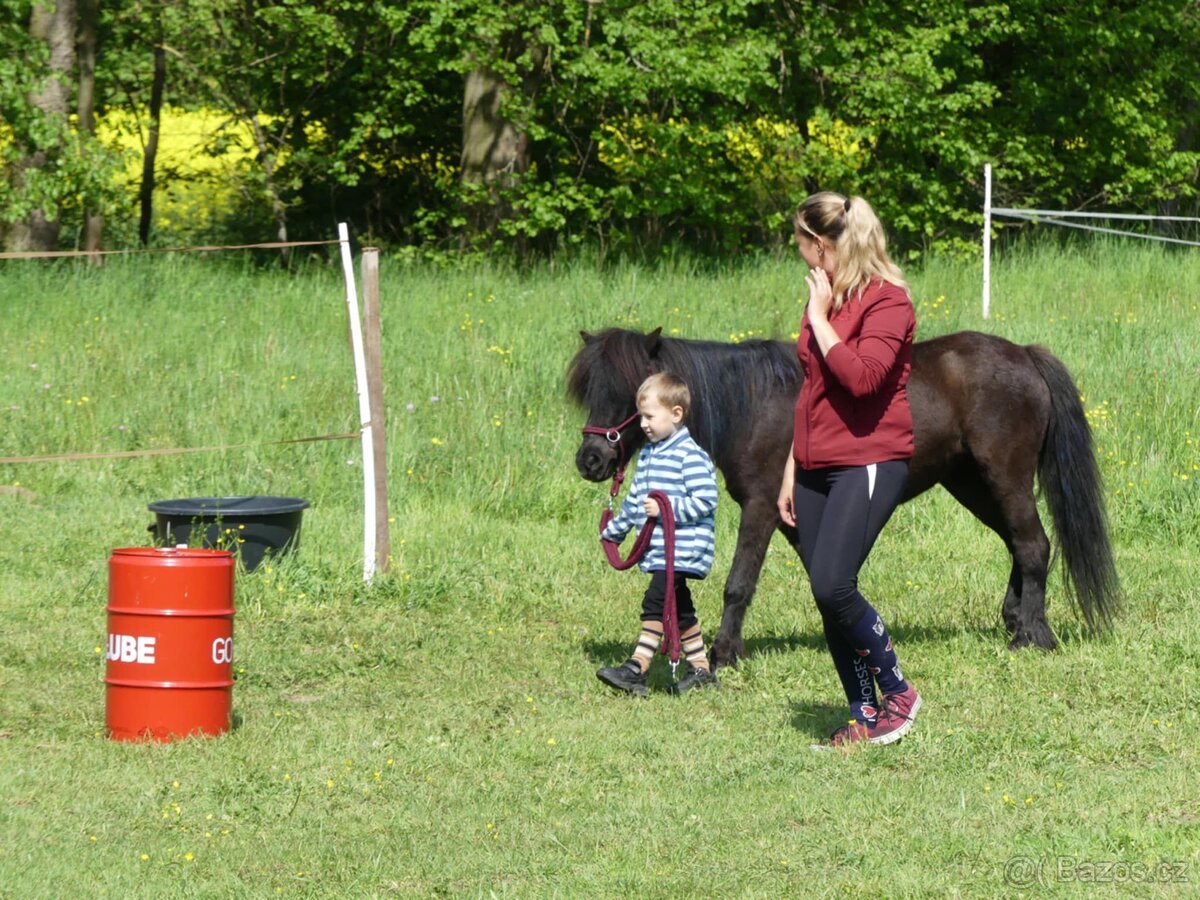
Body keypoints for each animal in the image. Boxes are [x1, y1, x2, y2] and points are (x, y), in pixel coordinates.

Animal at [568, 327, 1120, 669]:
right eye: (590, 391)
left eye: (633, 394)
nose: (590, 460)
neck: (753, 404)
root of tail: (1024, 354)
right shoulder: (796, 518)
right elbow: (823, 574)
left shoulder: (761, 507)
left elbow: (739, 584)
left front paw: (726, 652)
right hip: (972, 483)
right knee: (1020, 545)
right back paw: (1014, 620)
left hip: (1004, 477)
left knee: (1033, 546)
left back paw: (1032, 635)